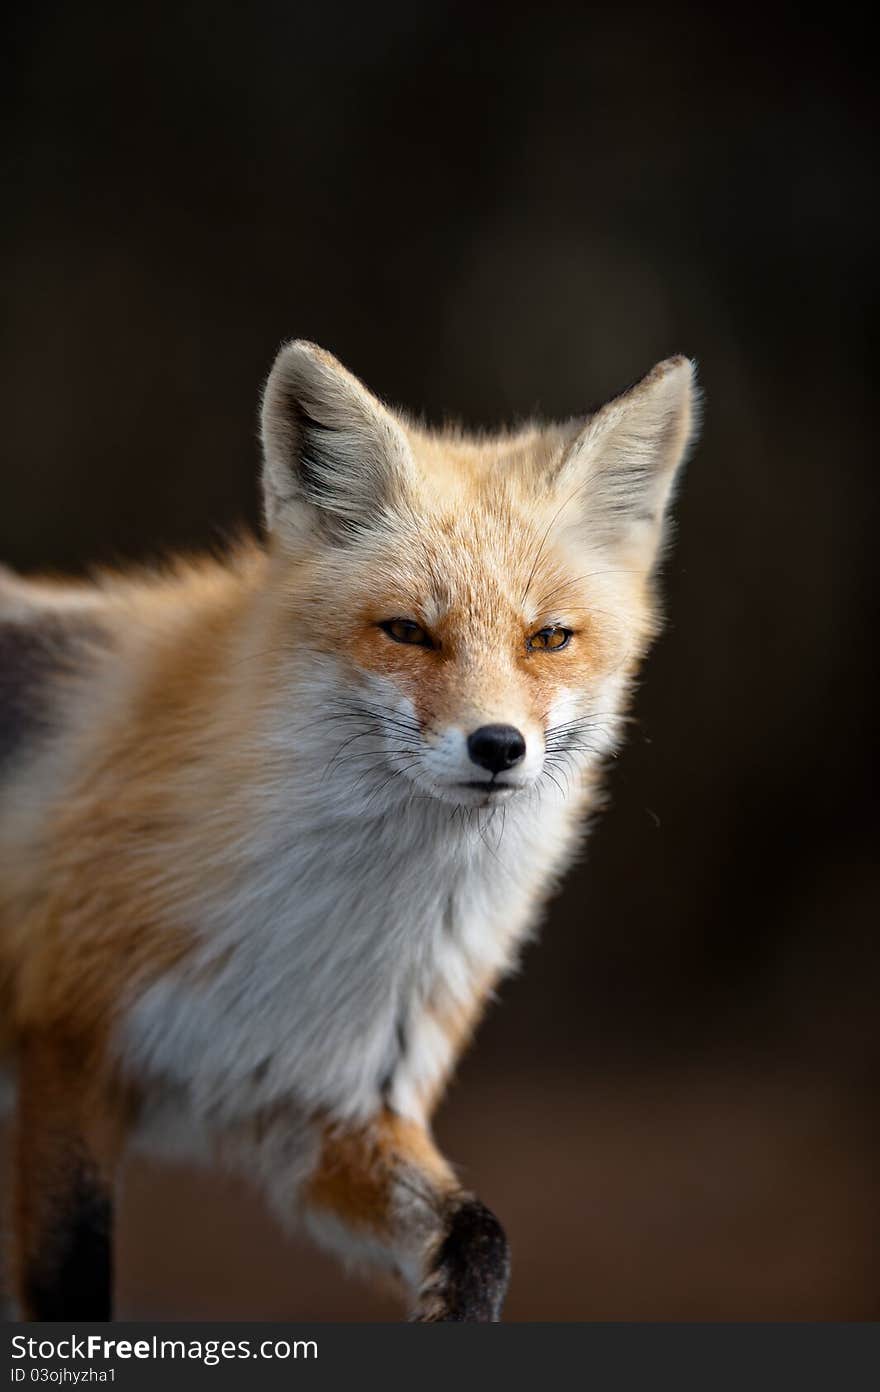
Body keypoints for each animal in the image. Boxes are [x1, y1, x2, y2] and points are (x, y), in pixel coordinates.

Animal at [0, 342, 701, 1319]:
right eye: (406, 632)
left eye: (549, 639)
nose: (497, 746)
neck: (325, 940)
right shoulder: (68, 1053)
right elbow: (68, 1281)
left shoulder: (327, 1115)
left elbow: (478, 1236)